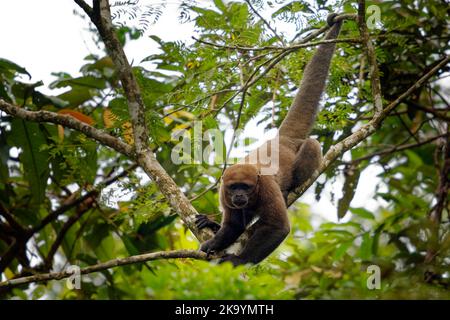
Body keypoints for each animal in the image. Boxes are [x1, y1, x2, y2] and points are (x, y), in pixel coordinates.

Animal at [195, 13, 342, 266]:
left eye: (245, 186)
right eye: (233, 187)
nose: (239, 195)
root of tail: (281, 139)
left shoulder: (266, 187)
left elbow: (279, 227)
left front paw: (239, 260)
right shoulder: (223, 193)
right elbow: (233, 225)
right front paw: (213, 242)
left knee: (311, 145)